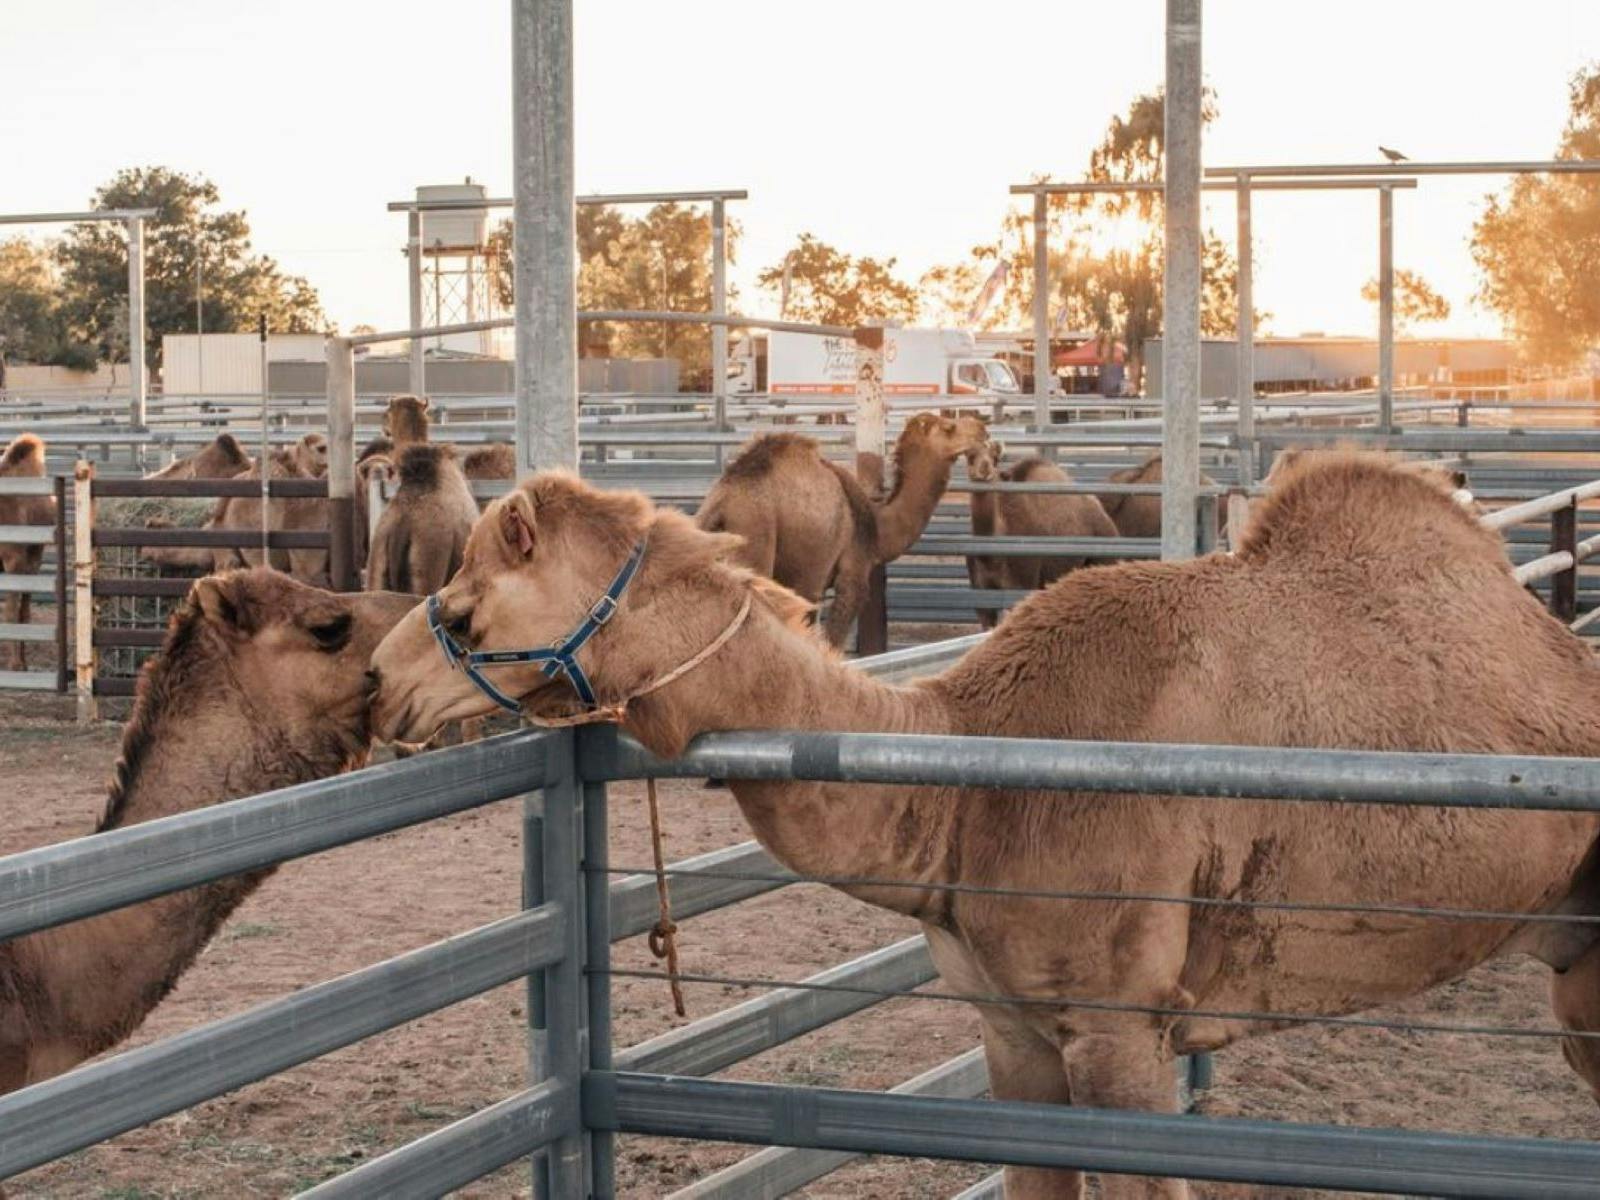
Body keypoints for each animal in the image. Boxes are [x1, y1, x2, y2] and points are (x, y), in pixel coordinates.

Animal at [695, 413, 988, 645]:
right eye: (949, 426)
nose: (982, 429)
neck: (877, 525)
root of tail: (721, 506)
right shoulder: (851, 573)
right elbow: (832, 640)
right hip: (756, 536)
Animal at [965, 440, 1118, 629]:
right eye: (970, 457)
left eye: (995, 459)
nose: (985, 470)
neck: (991, 559)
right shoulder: (982, 600)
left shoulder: (1021, 585)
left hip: (1104, 557)